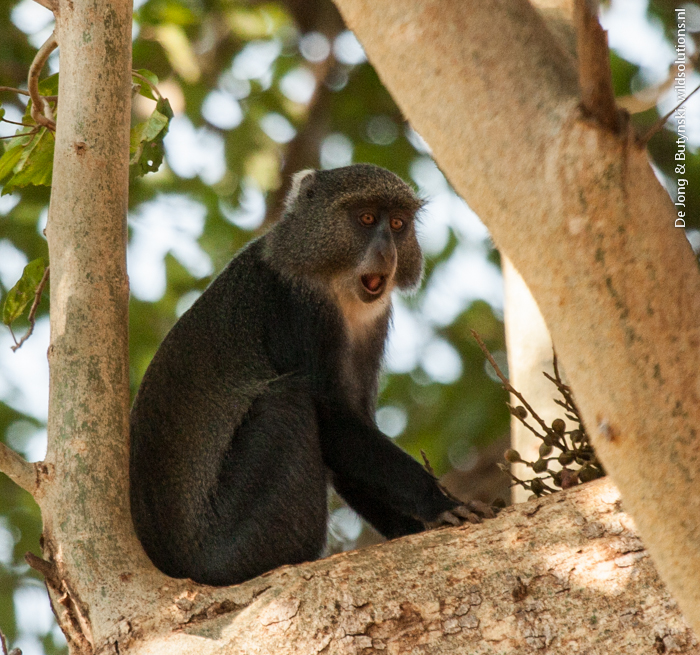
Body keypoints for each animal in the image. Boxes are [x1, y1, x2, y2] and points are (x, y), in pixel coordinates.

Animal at [129, 163, 473, 587]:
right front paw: (438, 503)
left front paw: (413, 526)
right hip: (234, 546)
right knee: (288, 400)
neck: (336, 288)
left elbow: (350, 437)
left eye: (397, 224)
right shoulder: (295, 307)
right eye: (366, 219)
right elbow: (334, 420)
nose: (387, 251)